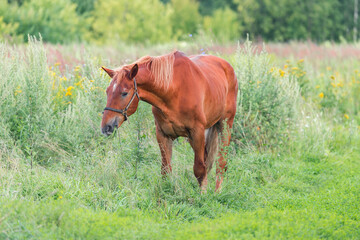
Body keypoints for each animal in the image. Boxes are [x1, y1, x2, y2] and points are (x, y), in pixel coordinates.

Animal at [100, 50, 238, 191]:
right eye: (107, 91)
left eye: (124, 93)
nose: (106, 127)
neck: (173, 90)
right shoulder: (163, 135)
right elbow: (166, 170)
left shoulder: (197, 132)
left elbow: (199, 169)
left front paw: (203, 194)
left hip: (225, 126)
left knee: (221, 163)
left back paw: (217, 191)